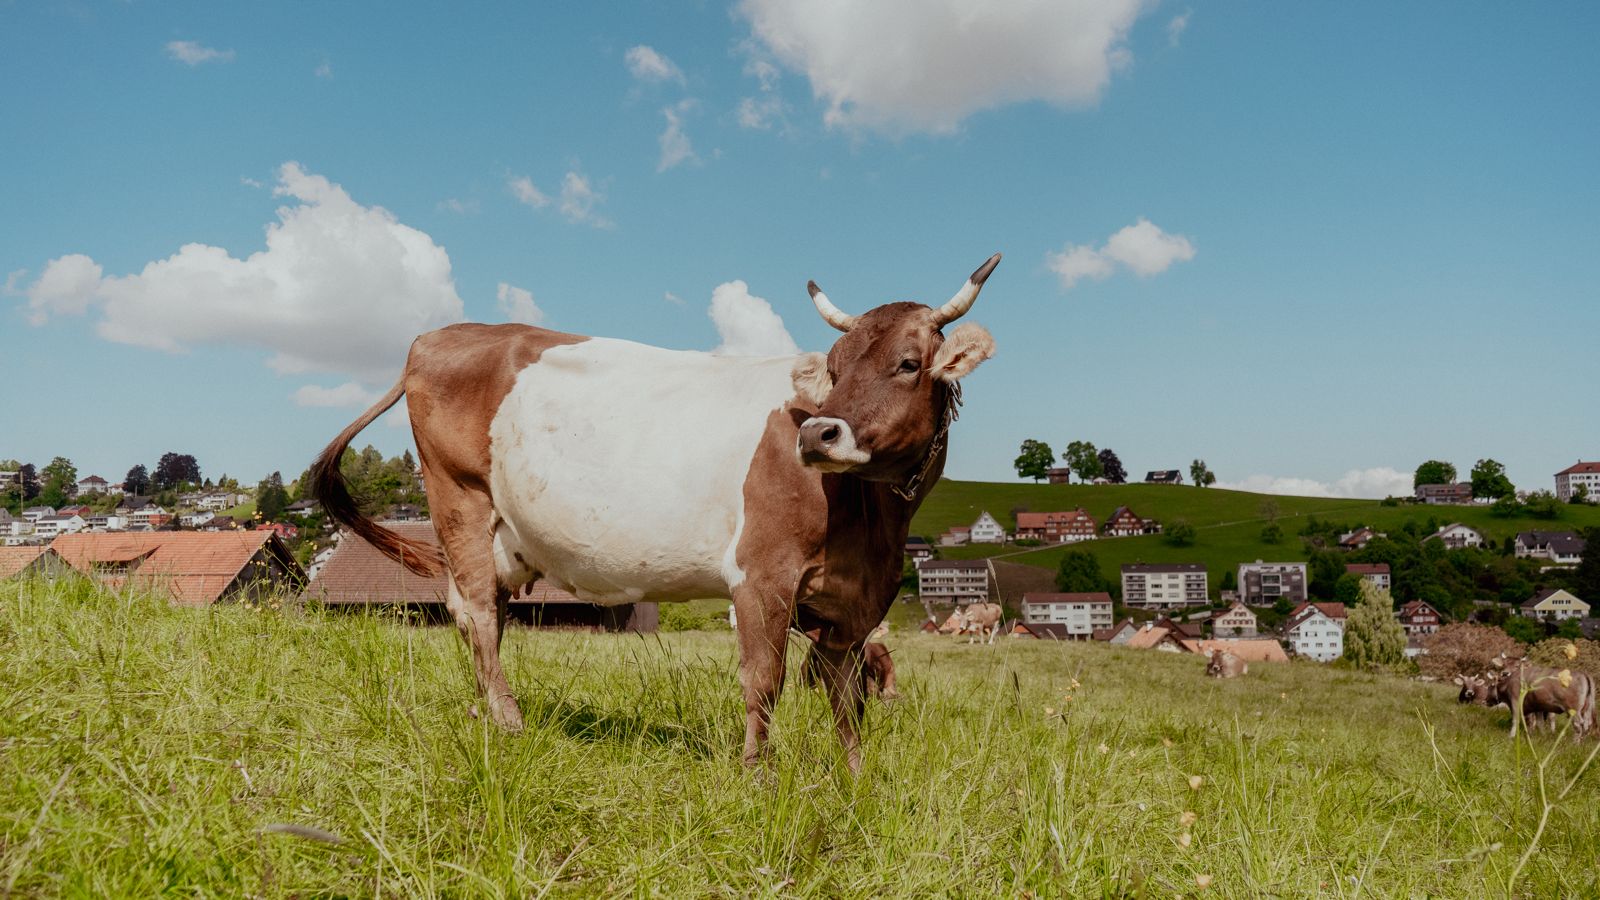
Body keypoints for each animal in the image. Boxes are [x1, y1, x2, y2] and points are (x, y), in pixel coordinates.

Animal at [311, 254, 1001, 771]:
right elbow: (765, 680)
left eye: (908, 364)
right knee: (478, 613)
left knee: (482, 618)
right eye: (832, 370)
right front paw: (759, 778)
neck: (873, 522)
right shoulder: (761, 574)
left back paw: (486, 711)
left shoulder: (854, 607)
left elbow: (846, 697)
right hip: (459, 500)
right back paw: (509, 722)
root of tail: (435, 338)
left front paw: (854, 780)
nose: (816, 435)